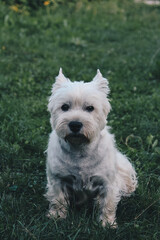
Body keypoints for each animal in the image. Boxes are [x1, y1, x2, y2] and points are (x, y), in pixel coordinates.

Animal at [45, 69, 138, 227]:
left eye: (90, 108)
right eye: (64, 107)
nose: (75, 124)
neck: (79, 150)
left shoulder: (107, 182)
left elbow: (107, 204)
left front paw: (107, 223)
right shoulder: (58, 179)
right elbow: (58, 199)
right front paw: (57, 216)